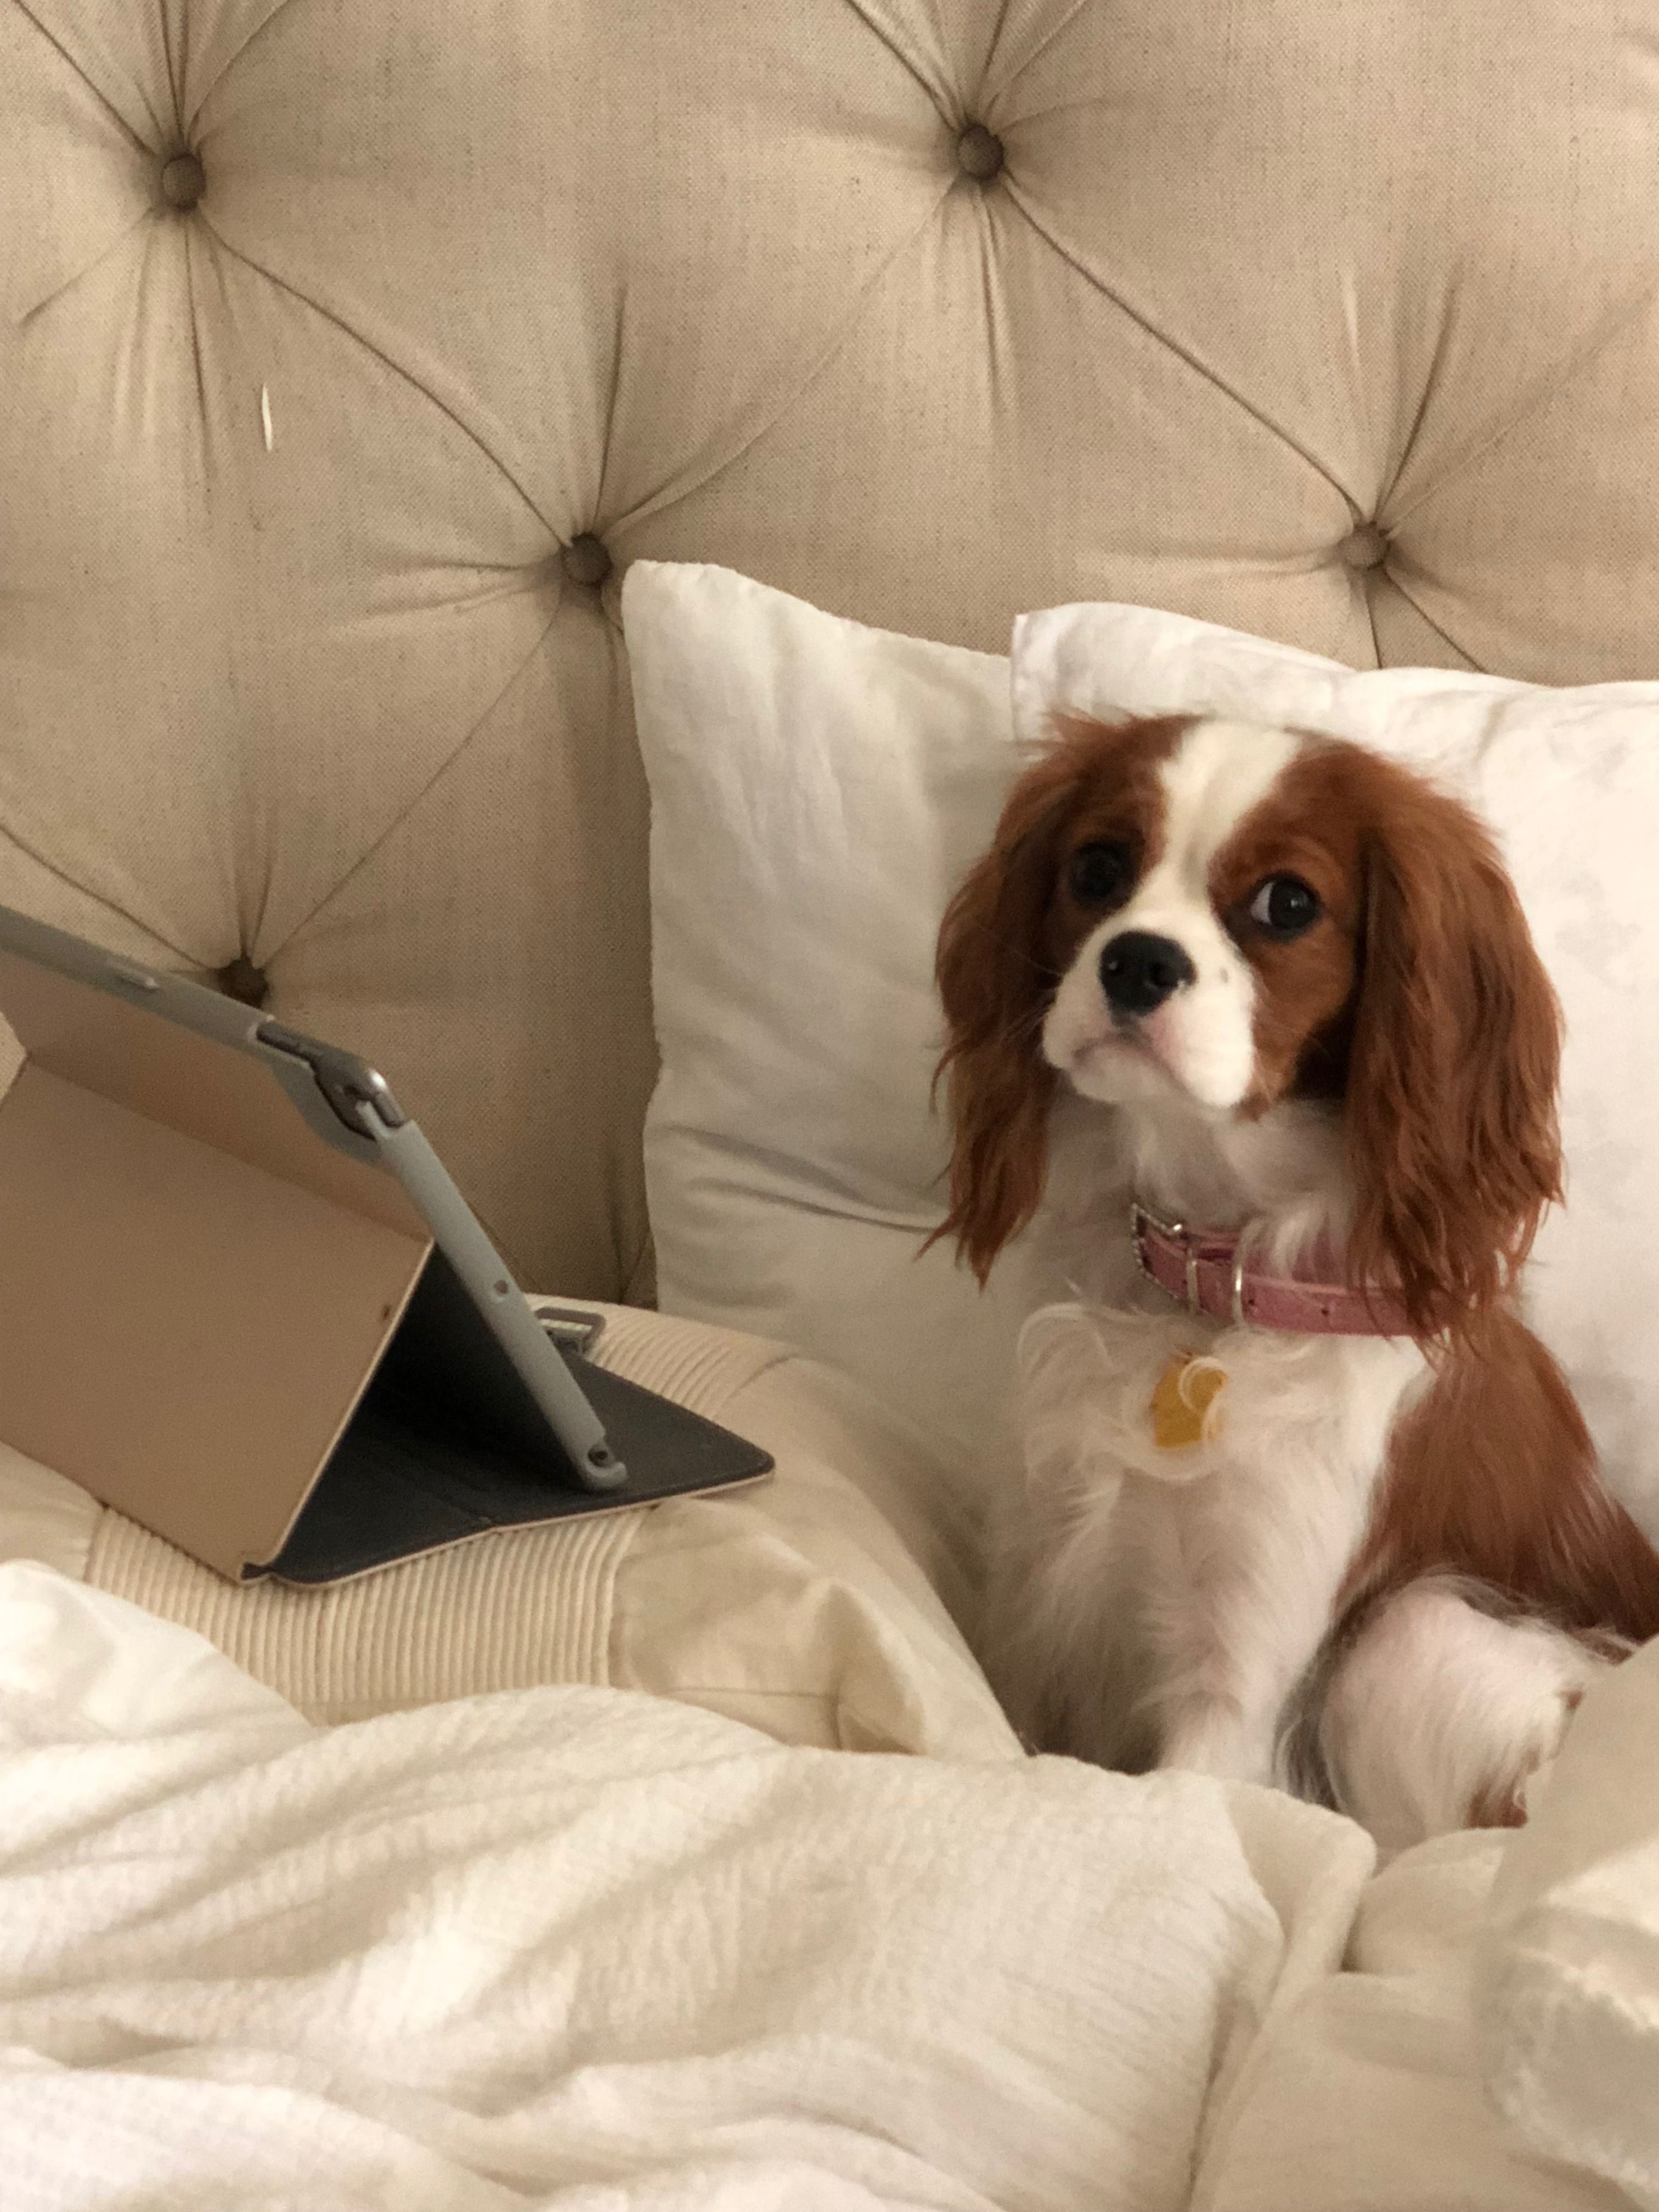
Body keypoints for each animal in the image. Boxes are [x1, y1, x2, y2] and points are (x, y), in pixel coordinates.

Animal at [938, 712, 1659, 1849]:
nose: (1136, 959)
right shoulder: (1035, 1586)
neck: (1204, 1293)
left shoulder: (1234, 1682)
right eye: (1095, 868)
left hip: (1411, 1633)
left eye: (1286, 904)